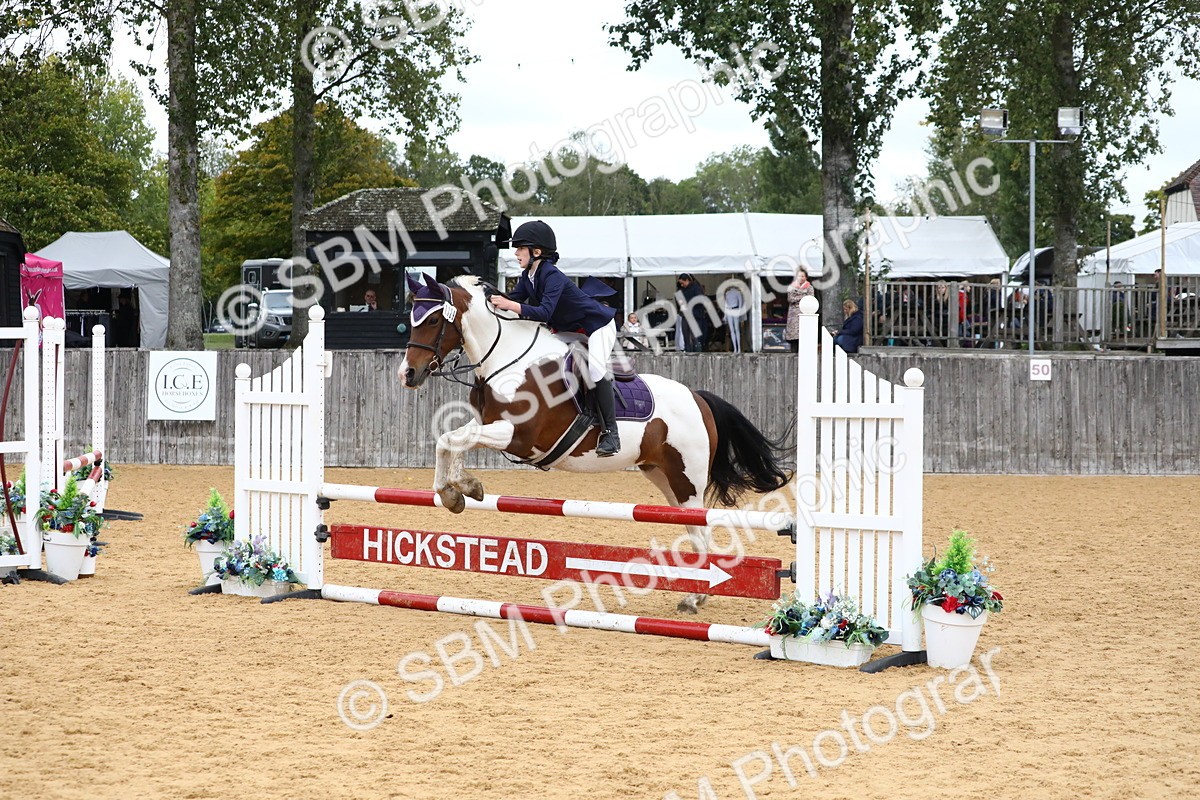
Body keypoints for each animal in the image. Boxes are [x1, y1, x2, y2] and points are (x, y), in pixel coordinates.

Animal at [398, 273, 790, 613]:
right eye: (412, 320)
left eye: (434, 321)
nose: (408, 375)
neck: (507, 359)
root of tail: (698, 397)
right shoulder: (489, 424)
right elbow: (449, 440)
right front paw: (457, 491)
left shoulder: (519, 436)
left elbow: (458, 439)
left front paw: (460, 489)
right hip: (662, 475)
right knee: (694, 529)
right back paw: (696, 595)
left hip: (687, 477)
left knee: (700, 528)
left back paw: (696, 598)